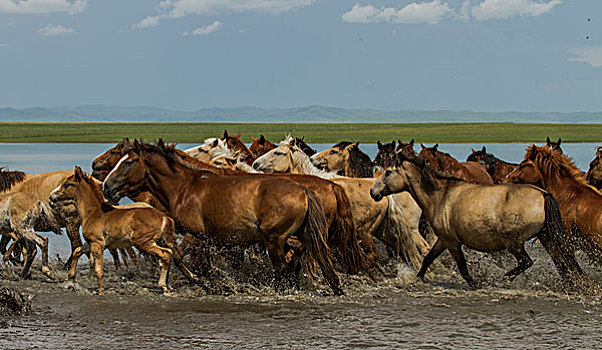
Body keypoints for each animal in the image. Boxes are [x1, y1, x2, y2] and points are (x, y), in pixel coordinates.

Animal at [51, 167, 197, 296]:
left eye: (67, 184)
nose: (51, 197)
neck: (92, 212)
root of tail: (164, 217)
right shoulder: (92, 243)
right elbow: (77, 251)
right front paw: (70, 281)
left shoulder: (97, 244)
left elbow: (98, 269)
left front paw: (100, 291)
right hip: (161, 240)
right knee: (172, 254)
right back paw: (177, 281)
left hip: (144, 242)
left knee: (166, 254)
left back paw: (164, 286)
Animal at [103, 139, 342, 296]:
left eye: (129, 162)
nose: (107, 187)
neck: (185, 187)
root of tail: (304, 190)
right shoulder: (207, 239)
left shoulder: (195, 234)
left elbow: (180, 256)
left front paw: (202, 281)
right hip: (300, 235)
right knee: (316, 261)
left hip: (275, 239)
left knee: (283, 268)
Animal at [368, 154, 592, 290]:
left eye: (388, 172)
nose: (373, 192)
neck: (440, 195)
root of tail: (543, 194)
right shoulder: (443, 239)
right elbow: (428, 259)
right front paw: (418, 278)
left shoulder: (452, 242)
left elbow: (462, 268)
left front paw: (476, 284)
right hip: (546, 237)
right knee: (562, 260)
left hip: (514, 242)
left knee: (526, 262)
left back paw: (503, 279)